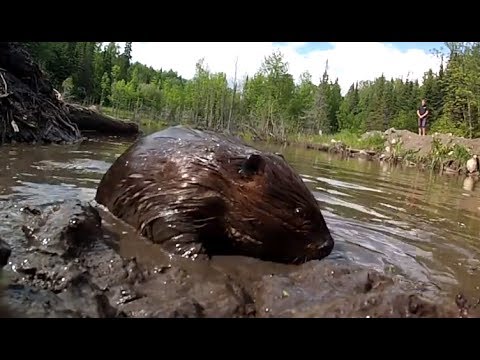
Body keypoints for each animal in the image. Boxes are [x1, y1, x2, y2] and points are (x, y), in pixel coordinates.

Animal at [94, 126, 334, 264]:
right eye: (299, 211)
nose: (329, 245)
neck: (217, 171)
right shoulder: (173, 191)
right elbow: (169, 225)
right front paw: (196, 257)